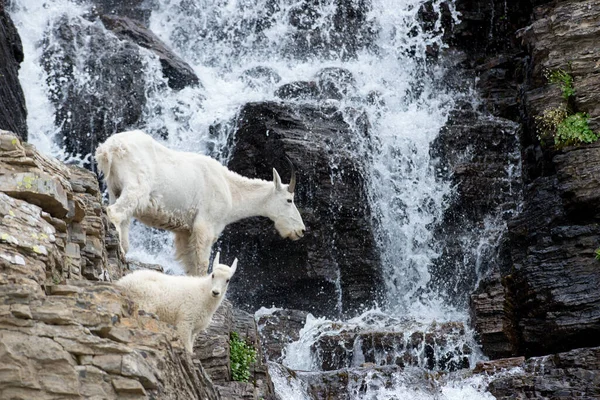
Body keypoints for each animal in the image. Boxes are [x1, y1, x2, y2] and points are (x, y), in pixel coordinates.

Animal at [97, 130, 310, 276]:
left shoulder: (185, 230)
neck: (231, 190)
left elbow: (189, 262)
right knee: (114, 212)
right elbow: (202, 263)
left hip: (115, 189)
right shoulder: (206, 224)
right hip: (136, 186)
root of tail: (108, 149)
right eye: (289, 200)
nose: (301, 230)